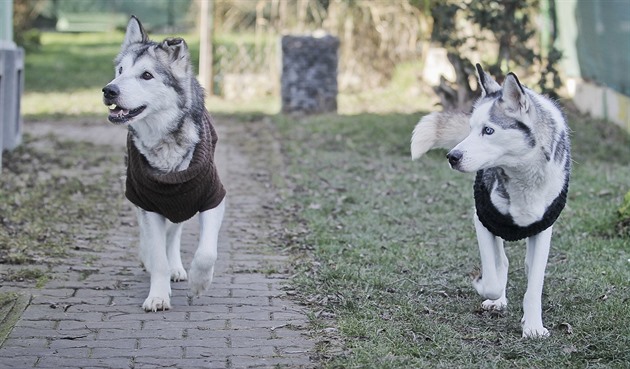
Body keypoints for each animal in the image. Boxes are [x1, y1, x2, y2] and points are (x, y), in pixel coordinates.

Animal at [103, 16, 230, 310]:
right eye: (120, 70)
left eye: (147, 75)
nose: (109, 90)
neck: (166, 143)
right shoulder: (148, 203)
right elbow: (157, 252)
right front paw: (158, 295)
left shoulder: (213, 198)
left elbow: (207, 252)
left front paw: (198, 282)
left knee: (175, 232)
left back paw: (178, 268)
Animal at [412, 64, 572, 336]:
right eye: (471, 128)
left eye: (488, 130)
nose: (452, 156)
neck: (522, 177)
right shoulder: (482, 219)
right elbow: (492, 278)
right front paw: (485, 288)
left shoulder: (543, 229)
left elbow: (534, 283)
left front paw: (533, 326)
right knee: (502, 262)